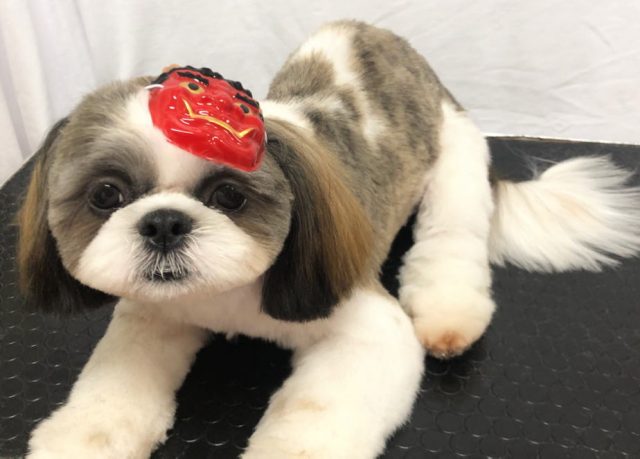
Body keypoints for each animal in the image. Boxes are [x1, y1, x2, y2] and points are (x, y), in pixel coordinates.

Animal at [18, 20, 640, 458]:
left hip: (456, 167)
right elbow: (113, 386)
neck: (226, 295)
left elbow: (315, 414)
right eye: (106, 195)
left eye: (229, 196)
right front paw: (79, 437)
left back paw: (447, 314)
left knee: (451, 238)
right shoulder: (154, 312)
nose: (164, 222)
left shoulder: (362, 326)